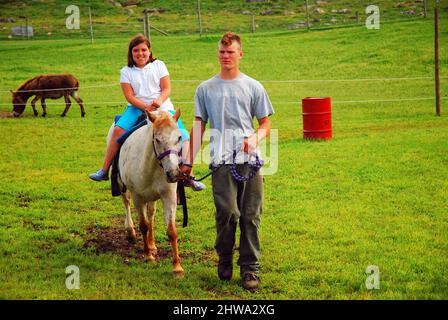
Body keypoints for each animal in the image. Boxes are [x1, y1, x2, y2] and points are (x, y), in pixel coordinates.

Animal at [107, 110, 184, 278]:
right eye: (157, 139)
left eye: (179, 138)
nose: (174, 174)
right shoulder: (138, 197)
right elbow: (143, 225)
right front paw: (148, 256)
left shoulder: (169, 197)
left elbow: (172, 231)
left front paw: (177, 267)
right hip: (123, 187)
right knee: (127, 204)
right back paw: (130, 232)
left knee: (151, 214)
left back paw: (152, 244)